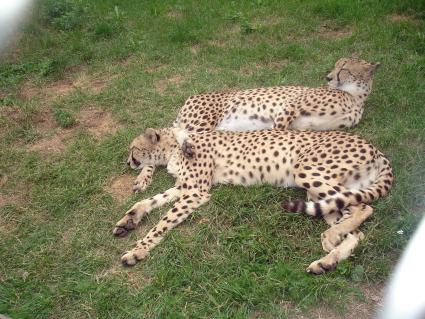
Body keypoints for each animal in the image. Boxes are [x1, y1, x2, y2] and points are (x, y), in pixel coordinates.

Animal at [115, 129, 390, 274]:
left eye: (132, 149)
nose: (128, 162)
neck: (175, 146)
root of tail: (375, 148)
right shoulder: (185, 187)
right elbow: (150, 201)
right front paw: (129, 219)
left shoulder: (196, 191)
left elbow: (162, 222)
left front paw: (137, 250)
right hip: (320, 194)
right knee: (356, 231)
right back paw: (327, 261)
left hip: (307, 172)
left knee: (364, 206)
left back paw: (331, 239)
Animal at [130, 57, 380, 192]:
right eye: (337, 67)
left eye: (344, 69)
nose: (328, 77)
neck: (354, 97)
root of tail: (191, 98)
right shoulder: (289, 108)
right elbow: (278, 130)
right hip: (200, 124)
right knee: (170, 137)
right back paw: (142, 174)